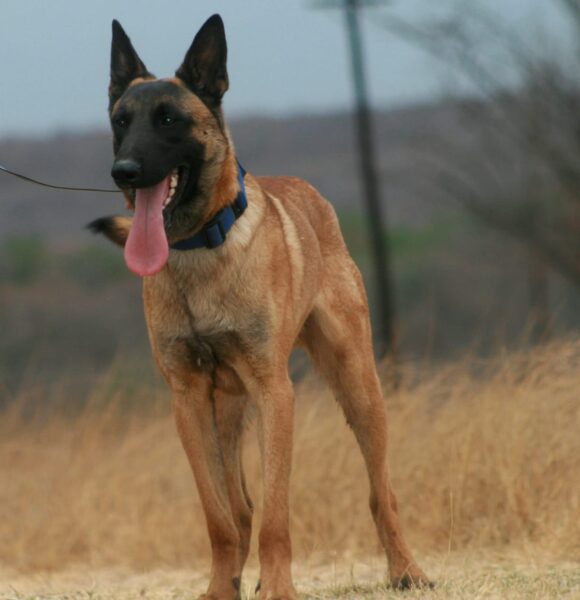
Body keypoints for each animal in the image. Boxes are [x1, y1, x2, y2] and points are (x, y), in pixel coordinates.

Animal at [90, 14, 430, 600]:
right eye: (120, 121)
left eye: (169, 119)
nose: (124, 171)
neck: (199, 249)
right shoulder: (187, 401)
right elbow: (220, 516)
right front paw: (220, 588)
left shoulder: (276, 394)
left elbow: (276, 513)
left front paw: (276, 587)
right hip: (226, 412)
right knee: (240, 506)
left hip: (359, 386)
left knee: (379, 491)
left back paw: (406, 570)